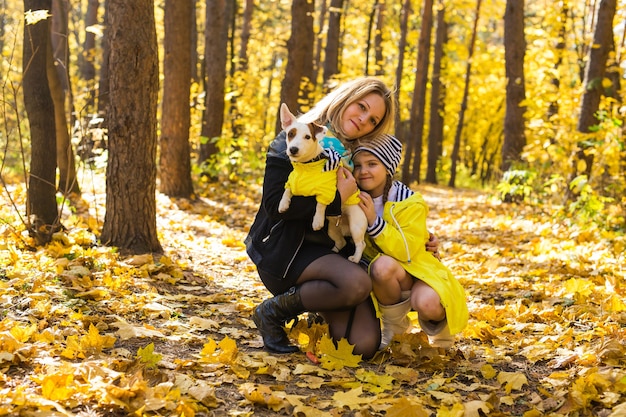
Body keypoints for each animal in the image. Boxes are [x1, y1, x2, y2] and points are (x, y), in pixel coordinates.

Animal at [276, 102, 366, 262]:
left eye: (307, 137)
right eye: (290, 134)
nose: (293, 149)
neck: (306, 167)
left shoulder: (327, 190)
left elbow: (320, 204)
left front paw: (317, 220)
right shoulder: (292, 182)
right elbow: (287, 191)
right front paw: (283, 204)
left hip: (356, 225)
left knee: (361, 244)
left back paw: (355, 258)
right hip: (332, 229)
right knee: (341, 242)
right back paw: (334, 250)